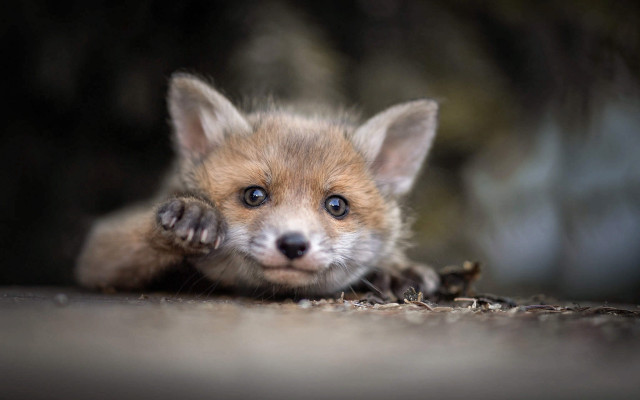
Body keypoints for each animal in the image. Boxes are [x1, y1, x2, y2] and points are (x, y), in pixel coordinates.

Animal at [75, 73, 440, 299]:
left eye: (336, 205)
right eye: (254, 195)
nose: (293, 244)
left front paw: (394, 267)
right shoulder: (99, 251)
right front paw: (191, 213)